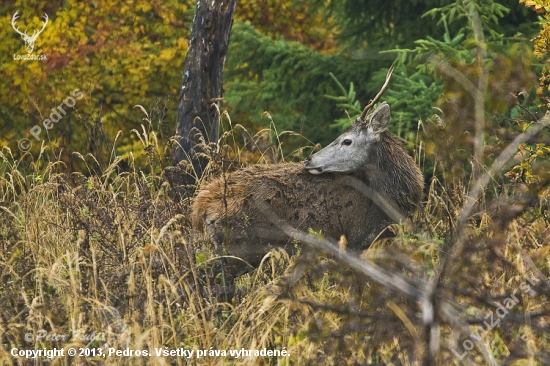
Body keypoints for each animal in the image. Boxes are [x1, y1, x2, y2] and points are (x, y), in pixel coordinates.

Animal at [192, 67, 424, 276]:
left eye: (347, 141)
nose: (308, 159)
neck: (391, 200)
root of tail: (199, 206)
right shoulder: (357, 237)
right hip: (238, 247)